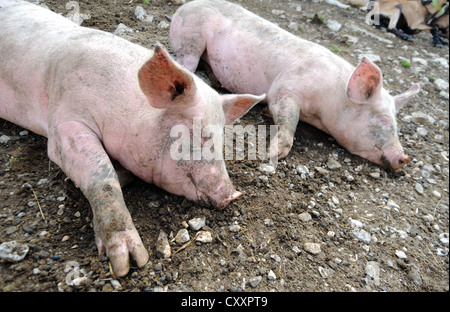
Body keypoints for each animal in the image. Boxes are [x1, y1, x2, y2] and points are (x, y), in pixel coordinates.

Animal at [0, 0, 264, 278]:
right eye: (198, 133)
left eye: (222, 137)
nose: (234, 194)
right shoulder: (66, 120)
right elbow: (102, 175)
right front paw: (129, 263)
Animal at [171, 0, 420, 171]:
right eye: (384, 119)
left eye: (396, 124)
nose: (405, 158)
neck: (324, 111)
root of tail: (186, 5)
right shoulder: (285, 88)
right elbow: (289, 119)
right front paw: (273, 154)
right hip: (191, 38)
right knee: (187, 63)